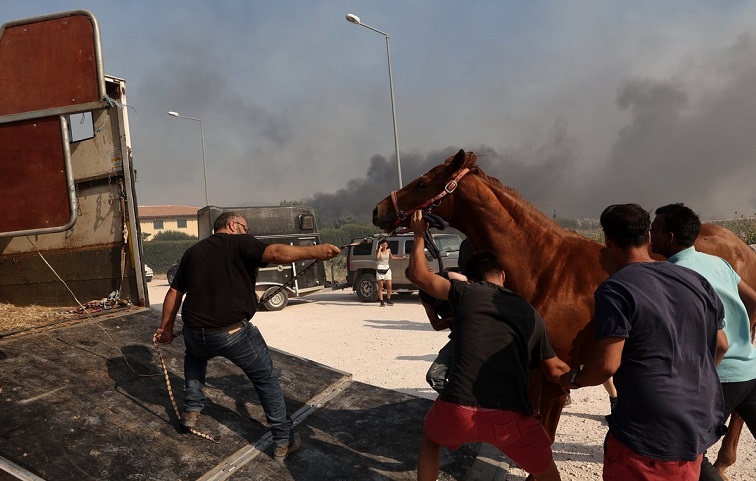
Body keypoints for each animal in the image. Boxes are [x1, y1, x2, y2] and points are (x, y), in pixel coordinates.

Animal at [372, 149, 756, 476]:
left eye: (423, 183)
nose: (378, 210)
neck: (547, 268)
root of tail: (742, 249)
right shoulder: (536, 367)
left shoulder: (558, 374)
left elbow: (547, 433)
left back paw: (720, 460)